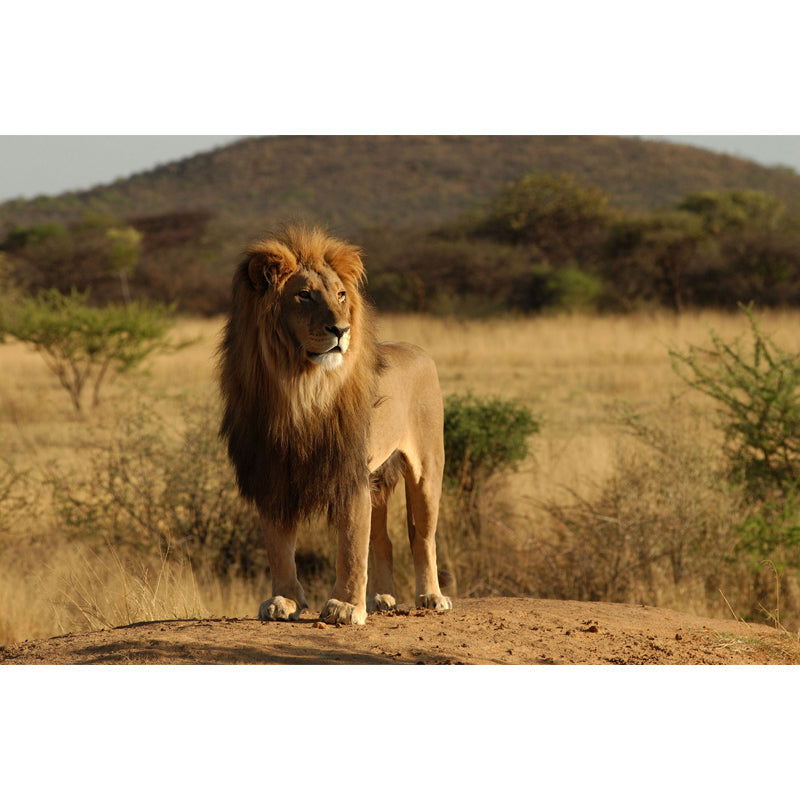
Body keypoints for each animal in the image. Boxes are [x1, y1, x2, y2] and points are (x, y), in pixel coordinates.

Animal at [217, 223, 450, 624]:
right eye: (304, 295)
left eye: (341, 295)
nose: (341, 330)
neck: (300, 387)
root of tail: (417, 350)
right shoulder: (272, 473)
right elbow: (279, 546)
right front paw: (284, 600)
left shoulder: (348, 471)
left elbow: (351, 546)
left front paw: (344, 606)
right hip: (378, 477)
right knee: (383, 539)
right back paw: (383, 599)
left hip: (427, 470)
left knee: (422, 537)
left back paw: (431, 597)